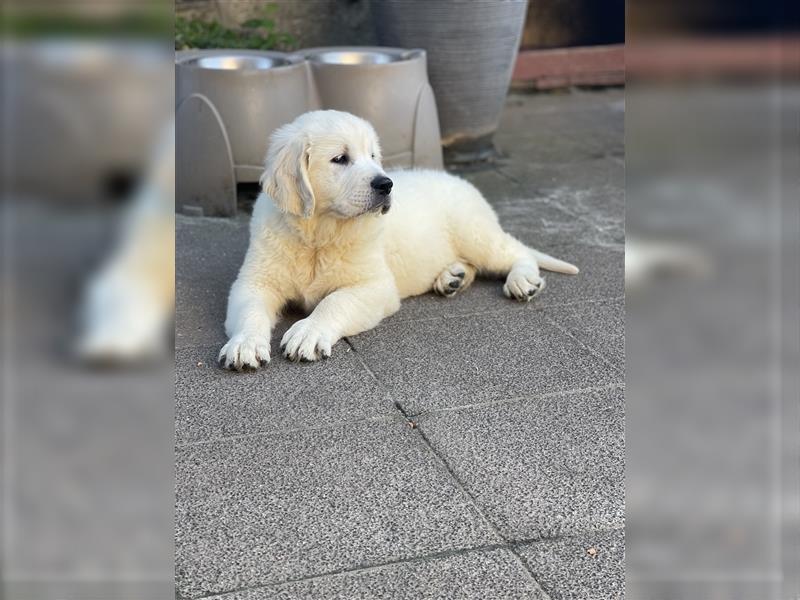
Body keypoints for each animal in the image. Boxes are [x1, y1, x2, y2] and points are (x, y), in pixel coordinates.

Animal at [222, 110, 580, 368]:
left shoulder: (376, 287)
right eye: (340, 158)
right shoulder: (255, 281)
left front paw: (308, 331)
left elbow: (334, 301)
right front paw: (244, 344)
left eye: (373, 156)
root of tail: (459, 181)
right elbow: (250, 309)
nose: (386, 184)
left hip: (474, 231)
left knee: (515, 252)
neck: (319, 235)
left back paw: (522, 281)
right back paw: (453, 277)